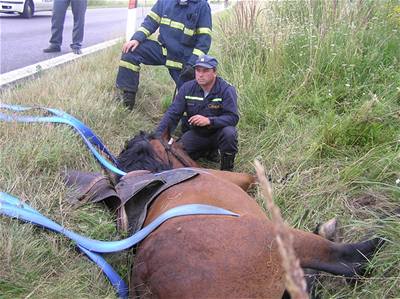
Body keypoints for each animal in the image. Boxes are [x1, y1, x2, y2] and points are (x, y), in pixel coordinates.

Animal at [111, 132, 382, 298]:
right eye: (179, 147)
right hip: (281, 240)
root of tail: (148, 281)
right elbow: (261, 178)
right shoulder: (242, 179)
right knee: (344, 259)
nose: (196, 158)